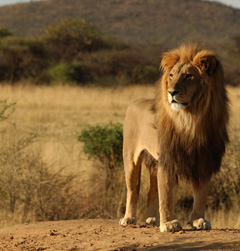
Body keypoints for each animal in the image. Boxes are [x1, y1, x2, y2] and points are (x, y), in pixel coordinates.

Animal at [119, 44, 230, 232]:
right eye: (171, 75)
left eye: (188, 76)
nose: (171, 92)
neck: (191, 120)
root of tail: (135, 102)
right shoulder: (167, 159)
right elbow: (166, 194)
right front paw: (169, 223)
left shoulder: (204, 159)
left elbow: (201, 194)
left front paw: (198, 220)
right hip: (131, 158)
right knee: (133, 190)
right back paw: (129, 218)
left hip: (153, 163)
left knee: (151, 191)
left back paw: (152, 219)